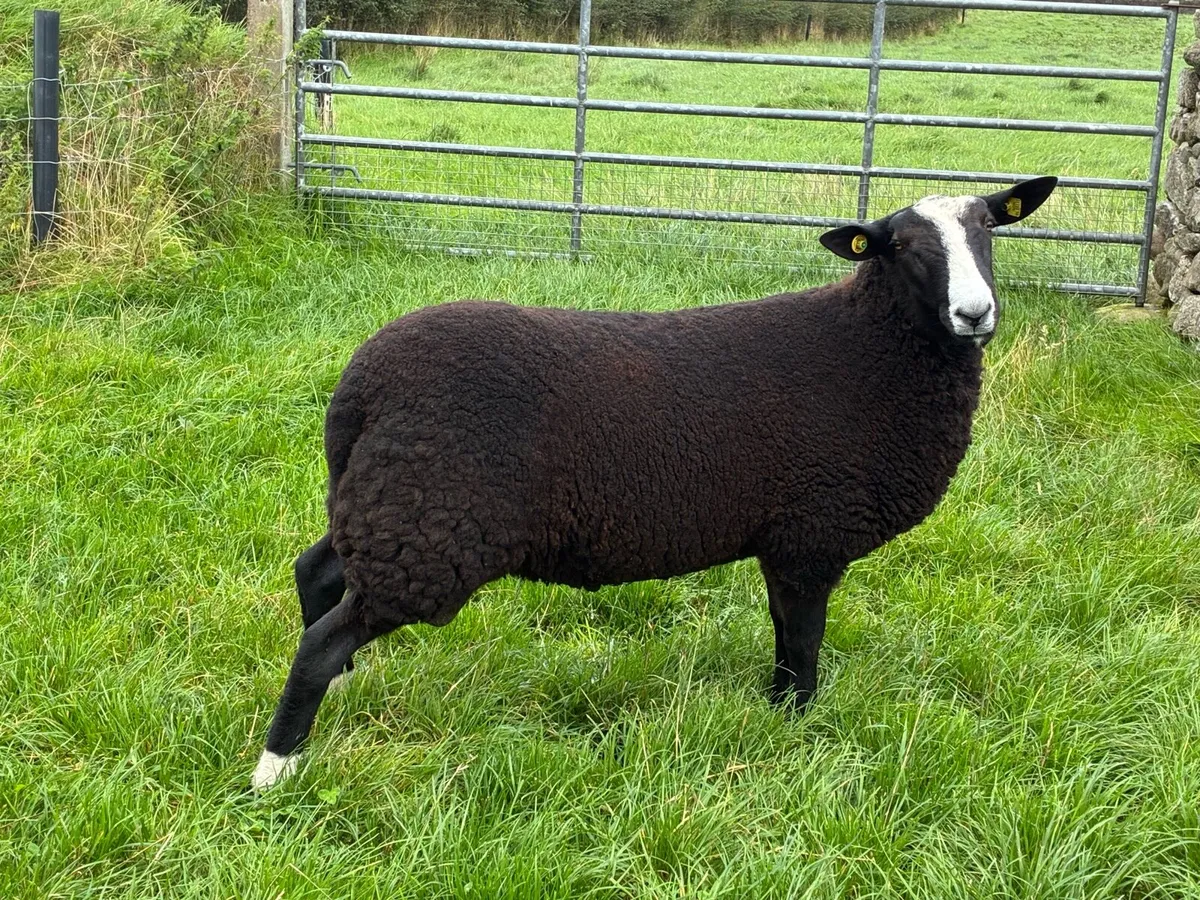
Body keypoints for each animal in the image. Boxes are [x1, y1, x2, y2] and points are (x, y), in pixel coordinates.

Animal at [251, 176, 1058, 790]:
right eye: (904, 248)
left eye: (990, 228)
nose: (975, 313)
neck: (869, 352)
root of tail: (360, 385)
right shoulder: (810, 534)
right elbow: (803, 644)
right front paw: (797, 728)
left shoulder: (783, 539)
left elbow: (783, 634)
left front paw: (775, 714)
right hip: (429, 528)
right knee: (321, 638)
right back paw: (276, 767)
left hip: (388, 503)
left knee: (317, 569)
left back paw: (345, 684)